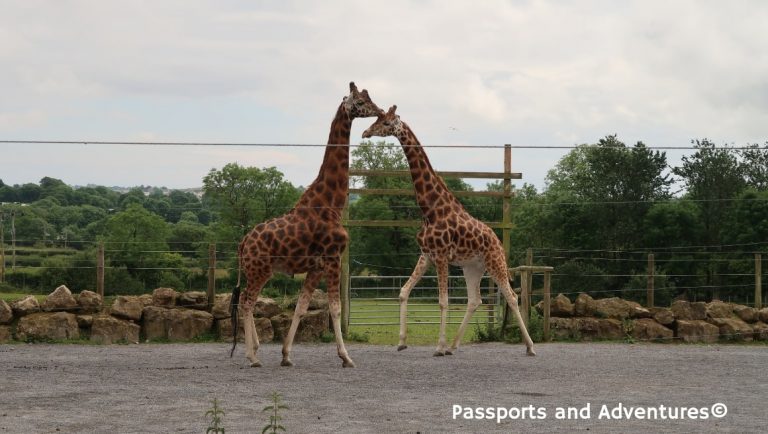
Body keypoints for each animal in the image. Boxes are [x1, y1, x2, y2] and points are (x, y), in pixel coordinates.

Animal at [230, 81, 382, 366]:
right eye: (359, 101)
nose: (379, 110)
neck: (331, 203)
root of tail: (243, 242)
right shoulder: (333, 258)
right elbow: (335, 308)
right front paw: (346, 357)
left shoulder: (316, 267)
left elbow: (301, 307)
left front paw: (286, 355)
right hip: (259, 269)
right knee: (246, 301)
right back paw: (252, 356)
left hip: (258, 270)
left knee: (248, 300)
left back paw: (255, 349)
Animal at [364, 105, 536, 356]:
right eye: (376, 119)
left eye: (386, 123)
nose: (366, 132)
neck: (430, 209)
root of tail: (497, 240)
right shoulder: (426, 255)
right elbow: (403, 292)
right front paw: (402, 341)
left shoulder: (441, 256)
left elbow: (443, 301)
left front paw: (438, 347)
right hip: (472, 267)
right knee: (475, 300)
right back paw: (454, 345)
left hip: (495, 262)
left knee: (512, 296)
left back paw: (530, 346)